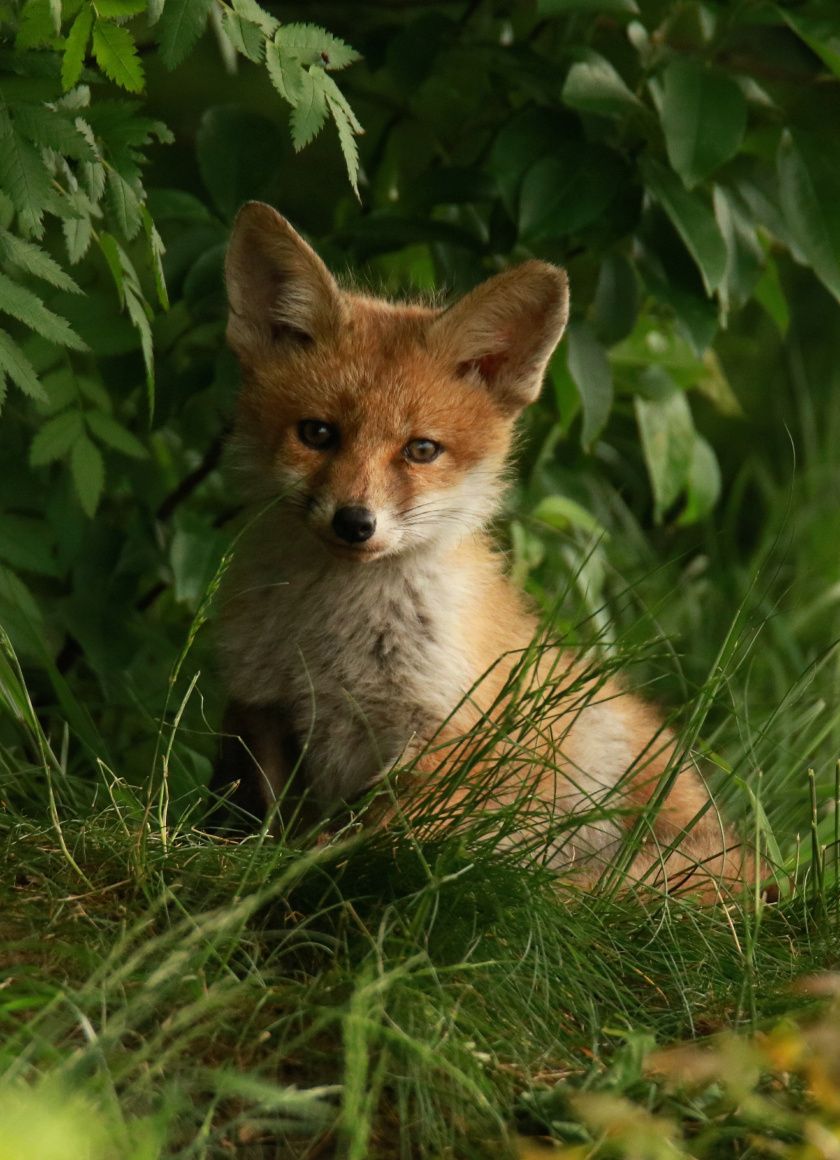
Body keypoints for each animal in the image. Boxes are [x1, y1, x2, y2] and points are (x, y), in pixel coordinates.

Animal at [210, 200, 761, 898]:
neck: (333, 641)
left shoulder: (447, 735)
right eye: (317, 434)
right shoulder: (264, 707)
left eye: (421, 449)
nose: (355, 522)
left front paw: (319, 868)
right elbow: (271, 821)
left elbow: (373, 839)